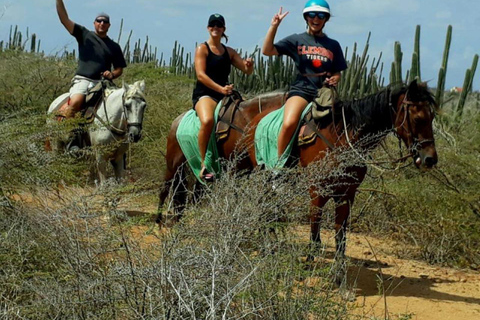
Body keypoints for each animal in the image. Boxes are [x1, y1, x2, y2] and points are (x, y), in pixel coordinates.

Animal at [158, 80, 438, 284]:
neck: (342, 137)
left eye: (432, 117)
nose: (430, 158)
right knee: (167, 189)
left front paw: (338, 274)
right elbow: (315, 230)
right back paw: (161, 221)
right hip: (177, 163)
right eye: (416, 117)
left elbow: (341, 236)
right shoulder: (317, 191)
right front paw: (309, 263)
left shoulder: (347, 194)